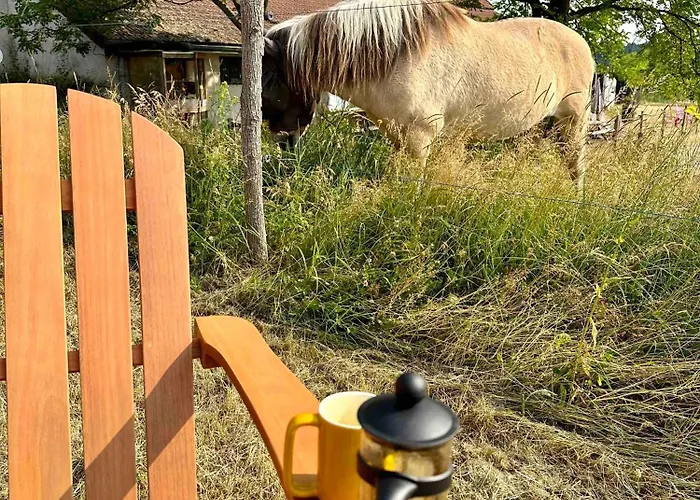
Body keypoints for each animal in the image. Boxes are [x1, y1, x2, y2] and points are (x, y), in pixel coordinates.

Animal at [262, 0, 595, 188]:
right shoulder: (397, 137)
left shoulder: (419, 138)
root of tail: (580, 43)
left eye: (268, 82)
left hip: (574, 122)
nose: (282, 142)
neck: (395, 55)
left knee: (576, 168)